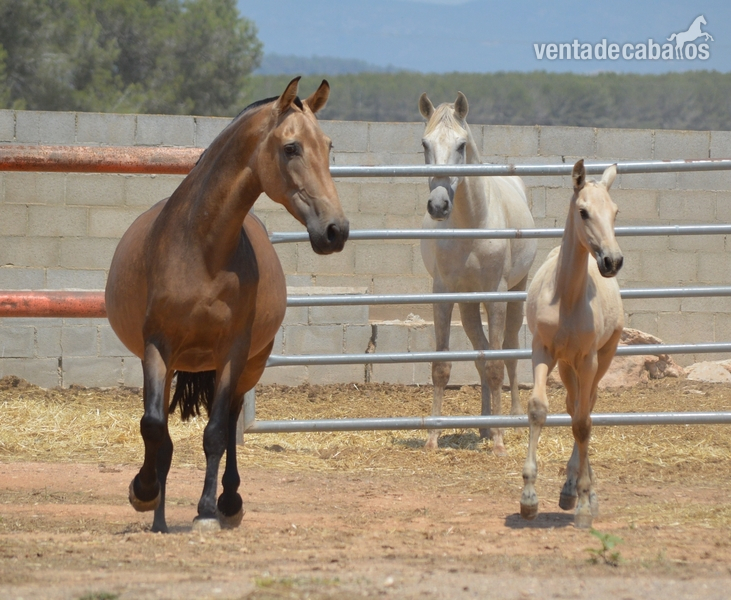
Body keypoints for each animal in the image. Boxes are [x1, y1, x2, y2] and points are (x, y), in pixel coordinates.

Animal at [105, 77, 349, 533]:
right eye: (291, 148)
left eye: (328, 146)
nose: (335, 230)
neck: (202, 250)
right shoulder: (157, 345)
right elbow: (154, 427)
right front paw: (143, 493)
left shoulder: (232, 350)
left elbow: (216, 431)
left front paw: (206, 511)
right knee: (162, 429)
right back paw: (160, 515)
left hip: (249, 363)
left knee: (232, 416)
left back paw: (228, 501)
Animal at [418, 92, 537, 455]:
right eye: (425, 144)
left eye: (461, 145)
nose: (438, 205)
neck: (471, 224)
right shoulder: (443, 294)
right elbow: (442, 365)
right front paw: (433, 437)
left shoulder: (496, 295)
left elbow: (497, 363)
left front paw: (499, 441)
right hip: (469, 304)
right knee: (481, 352)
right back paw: (485, 424)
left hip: (515, 293)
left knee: (508, 349)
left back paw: (509, 417)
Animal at [520, 159, 623, 529]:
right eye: (583, 211)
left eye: (615, 212)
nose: (612, 261)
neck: (565, 297)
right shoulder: (541, 351)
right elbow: (539, 409)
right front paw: (528, 498)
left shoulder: (589, 358)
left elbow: (583, 423)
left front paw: (584, 505)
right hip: (566, 366)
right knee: (573, 405)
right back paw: (568, 489)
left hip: (601, 358)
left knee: (585, 410)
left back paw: (583, 493)